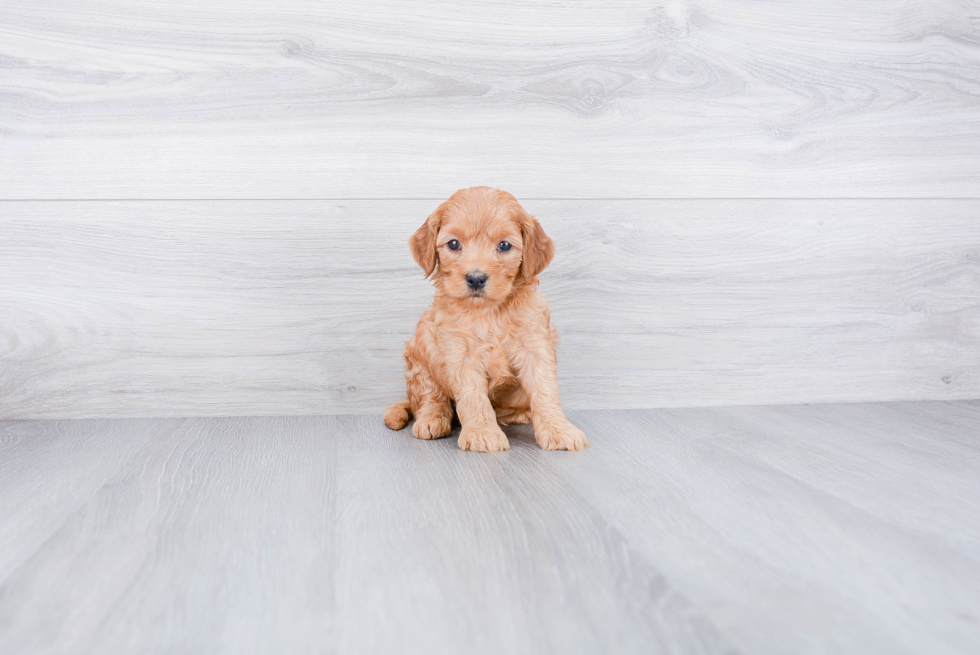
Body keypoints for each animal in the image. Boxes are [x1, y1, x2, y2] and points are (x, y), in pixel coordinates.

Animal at [380, 187, 588, 454]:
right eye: (454, 244)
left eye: (504, 245)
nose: (476, 278)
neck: (488, 312)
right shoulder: (459, 353)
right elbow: (472, 396)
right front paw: (482, 433)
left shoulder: (535, 346)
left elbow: (545, 390)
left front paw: (559, 430)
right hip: (420, 352)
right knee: (429, 396)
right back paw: (432, 419)